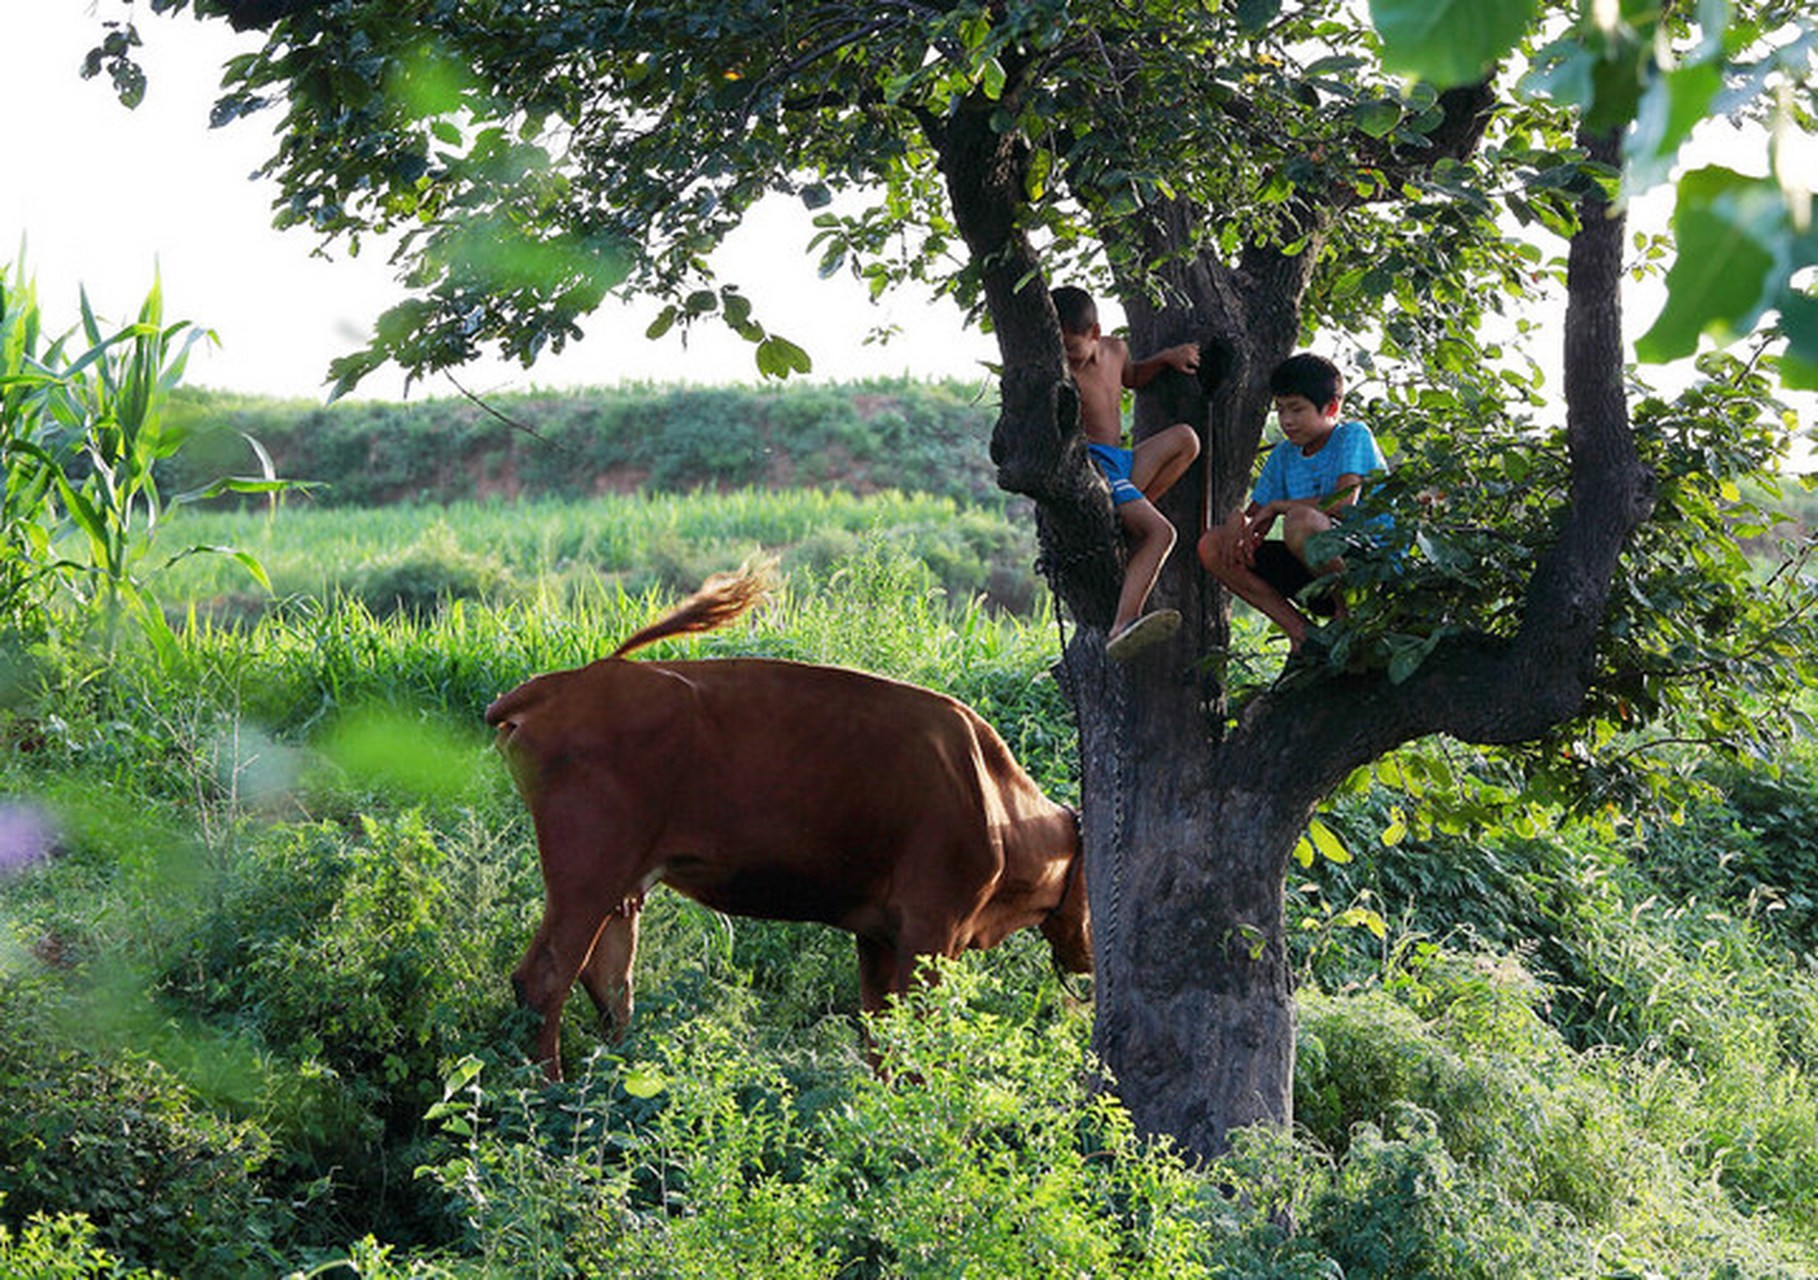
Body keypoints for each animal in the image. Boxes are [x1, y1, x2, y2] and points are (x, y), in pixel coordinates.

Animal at [487, 563, 1090, 1076]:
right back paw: (549, 1090)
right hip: (588, 875)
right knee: (544, 979)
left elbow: (879, 1036)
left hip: (623, 888)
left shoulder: (878, 935)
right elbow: (912, 1039)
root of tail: (556, 686)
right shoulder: (930, 931)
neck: (994, 801)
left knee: (610, 984)